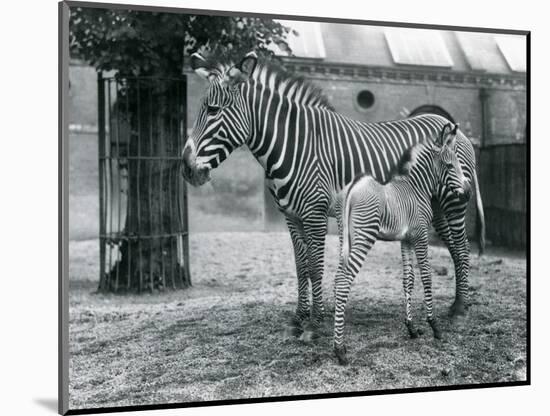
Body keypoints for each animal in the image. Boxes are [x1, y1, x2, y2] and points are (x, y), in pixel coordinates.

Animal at [334, 122, 468, 366]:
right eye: (448, 165)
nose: (468, 194)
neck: (417, 187)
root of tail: (355, 184)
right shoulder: (421, 235)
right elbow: (426, 276)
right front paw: (434, 326)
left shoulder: (406, 239)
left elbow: (408, 279)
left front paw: (412, 328)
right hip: (364, 237)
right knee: (343, 281)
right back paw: (339, 350)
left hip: (344, 237)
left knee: (338, 277)